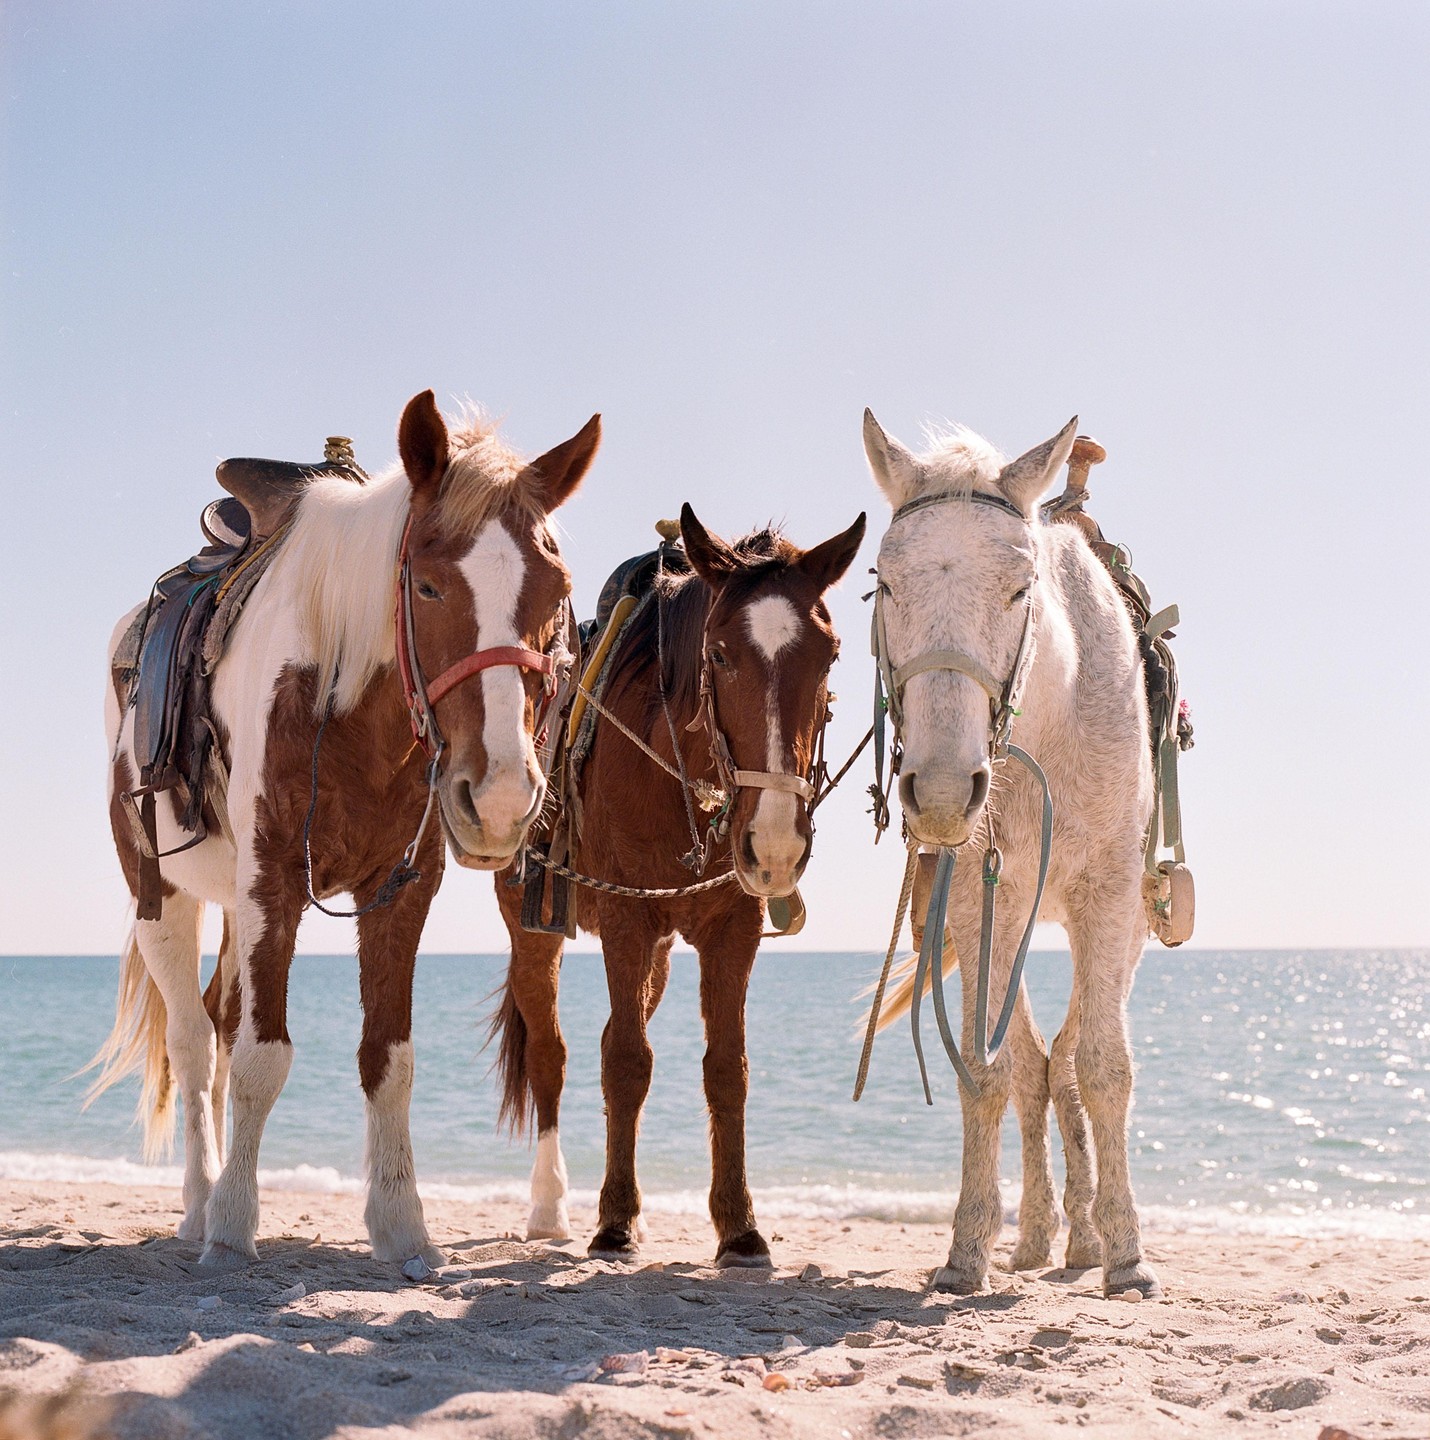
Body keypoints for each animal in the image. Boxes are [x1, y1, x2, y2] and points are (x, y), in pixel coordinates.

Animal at [91, 390, 600, 1271]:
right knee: (193, 1042)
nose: (501, 797)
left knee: (218, 1023)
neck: (347, 704)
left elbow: (387, 1059)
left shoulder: (401, 890)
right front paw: (233, 1228)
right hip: (161, 892)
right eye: (426, 586)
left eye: (556, 590)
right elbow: (261, 1056)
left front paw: (401, 1226)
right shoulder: (271, 882)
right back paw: (198, 1202)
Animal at [490, 504, 865, 1266]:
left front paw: (739, 1227)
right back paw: (550, 1209)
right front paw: (613, 1223)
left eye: (830, 655)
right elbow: (627, 1062)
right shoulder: (626, 923)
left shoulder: (732, 931)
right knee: (552, 1054)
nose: (776, 841)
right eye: (719, 654)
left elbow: (727, 1069)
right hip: (532, 928)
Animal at [861, 409, 1162, 1299]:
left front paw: (1127, 1257)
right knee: (1033, 1066)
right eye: (884, 584)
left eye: (1020, 588)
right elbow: (988, 1072)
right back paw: (1036, 1241)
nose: (941, 792)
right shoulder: (971, 904)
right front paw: (967, 1251)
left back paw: (1087, 1240)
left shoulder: (1109, 901)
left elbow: (1103, 1067)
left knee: (1067, 1060)